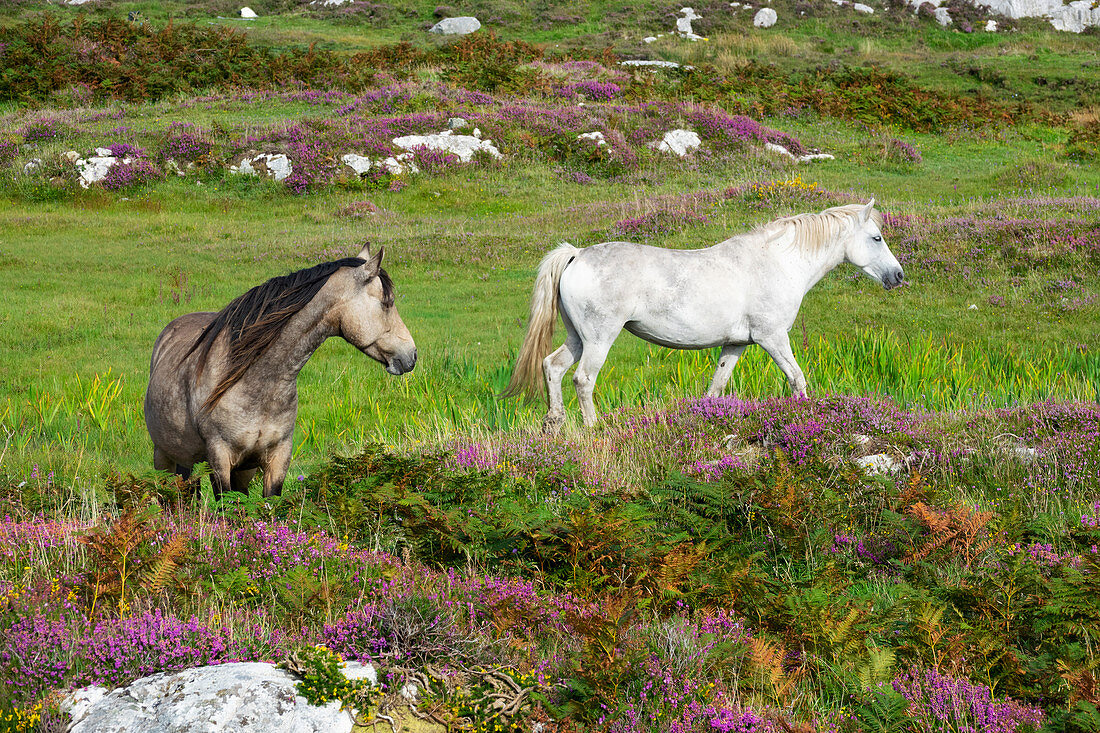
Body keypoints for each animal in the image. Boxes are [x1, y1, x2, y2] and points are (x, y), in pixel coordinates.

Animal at [146, 245, 415, 497]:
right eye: (387, 303)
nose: (411, 355)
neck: (255, 382)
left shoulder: (277, 457)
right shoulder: (219, 458)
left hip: (225, 467)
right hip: (164, 458)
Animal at [503, 197, 902, 431]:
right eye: (877, 238)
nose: (898, 276)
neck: (776, 262)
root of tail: (577, 254)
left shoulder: (737, 345)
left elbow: (716, 388)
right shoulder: (772, 337)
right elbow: (797, 379)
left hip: (577, 337)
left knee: (553, 366)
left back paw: (554, 423)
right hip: (599, 339)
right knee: (583, 379)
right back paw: (592, 428)